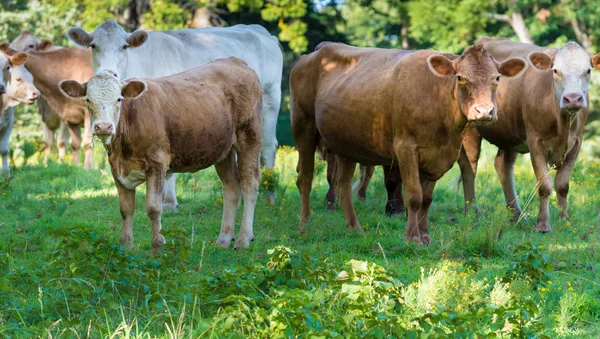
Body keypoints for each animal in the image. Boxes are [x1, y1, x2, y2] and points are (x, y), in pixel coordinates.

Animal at [58, 57, 262, 255]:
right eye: (87, 100)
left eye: (118, 99)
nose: (103, 127)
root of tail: (235, 61)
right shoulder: (116, 169)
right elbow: (125, 209)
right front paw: (125, 249)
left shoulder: (157, 164)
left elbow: (153, 208)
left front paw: (157, 248)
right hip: (223, 150)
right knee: (231, 187)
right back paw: (224, 239)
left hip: (249, 137)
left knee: (249, 184)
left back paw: (244, 239)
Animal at [67, 19, 282, 210]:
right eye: (94, 45)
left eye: (124, 46)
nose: (109, 72)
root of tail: (259, 30)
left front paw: (168, 202)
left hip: (270, 99)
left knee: (269, 147)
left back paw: (270, 195)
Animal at [290, 42, 524, 244]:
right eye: (460, 78)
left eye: (497, 78)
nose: (484, 111)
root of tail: (311, 55)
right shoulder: (406, 149)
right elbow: (414, 196)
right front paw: (412, 238)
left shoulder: (438, 156)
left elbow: (427, 199)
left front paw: (425, 236)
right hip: (304, 126)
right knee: (305, 178)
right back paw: (304, 225)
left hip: (345, 143)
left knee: (342, 184)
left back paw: (355, 229)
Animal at [460, 37, 600, 234]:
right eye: (555, 70)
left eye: (587, 70)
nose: (572, 99)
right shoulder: (536, 143)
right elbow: (545, 185)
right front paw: (542, 225)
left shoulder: (576, 144)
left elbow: (563, 185)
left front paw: (564, 220)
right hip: (470, 128)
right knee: (469, 167)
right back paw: (473, 211)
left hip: (510, 135)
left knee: (503, 166)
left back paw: (516, 215)